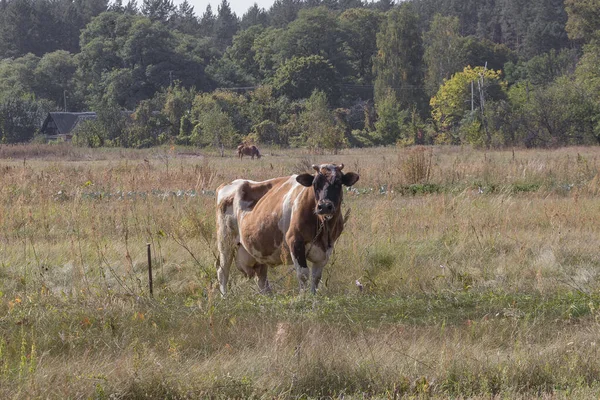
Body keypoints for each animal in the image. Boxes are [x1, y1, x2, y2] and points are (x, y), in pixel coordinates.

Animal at [214, 162, 358, 294]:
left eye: (338, 183)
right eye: (315, 184)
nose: (324, 206)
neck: (323, 227)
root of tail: (228, 184)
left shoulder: (325, 250)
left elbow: (316, 278)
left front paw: (313, 299)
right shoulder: (295, 241)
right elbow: (303, 274)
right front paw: (303, 299)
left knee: (261, 278)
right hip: (225, 242)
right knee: (223, 271)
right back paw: (224, 297)